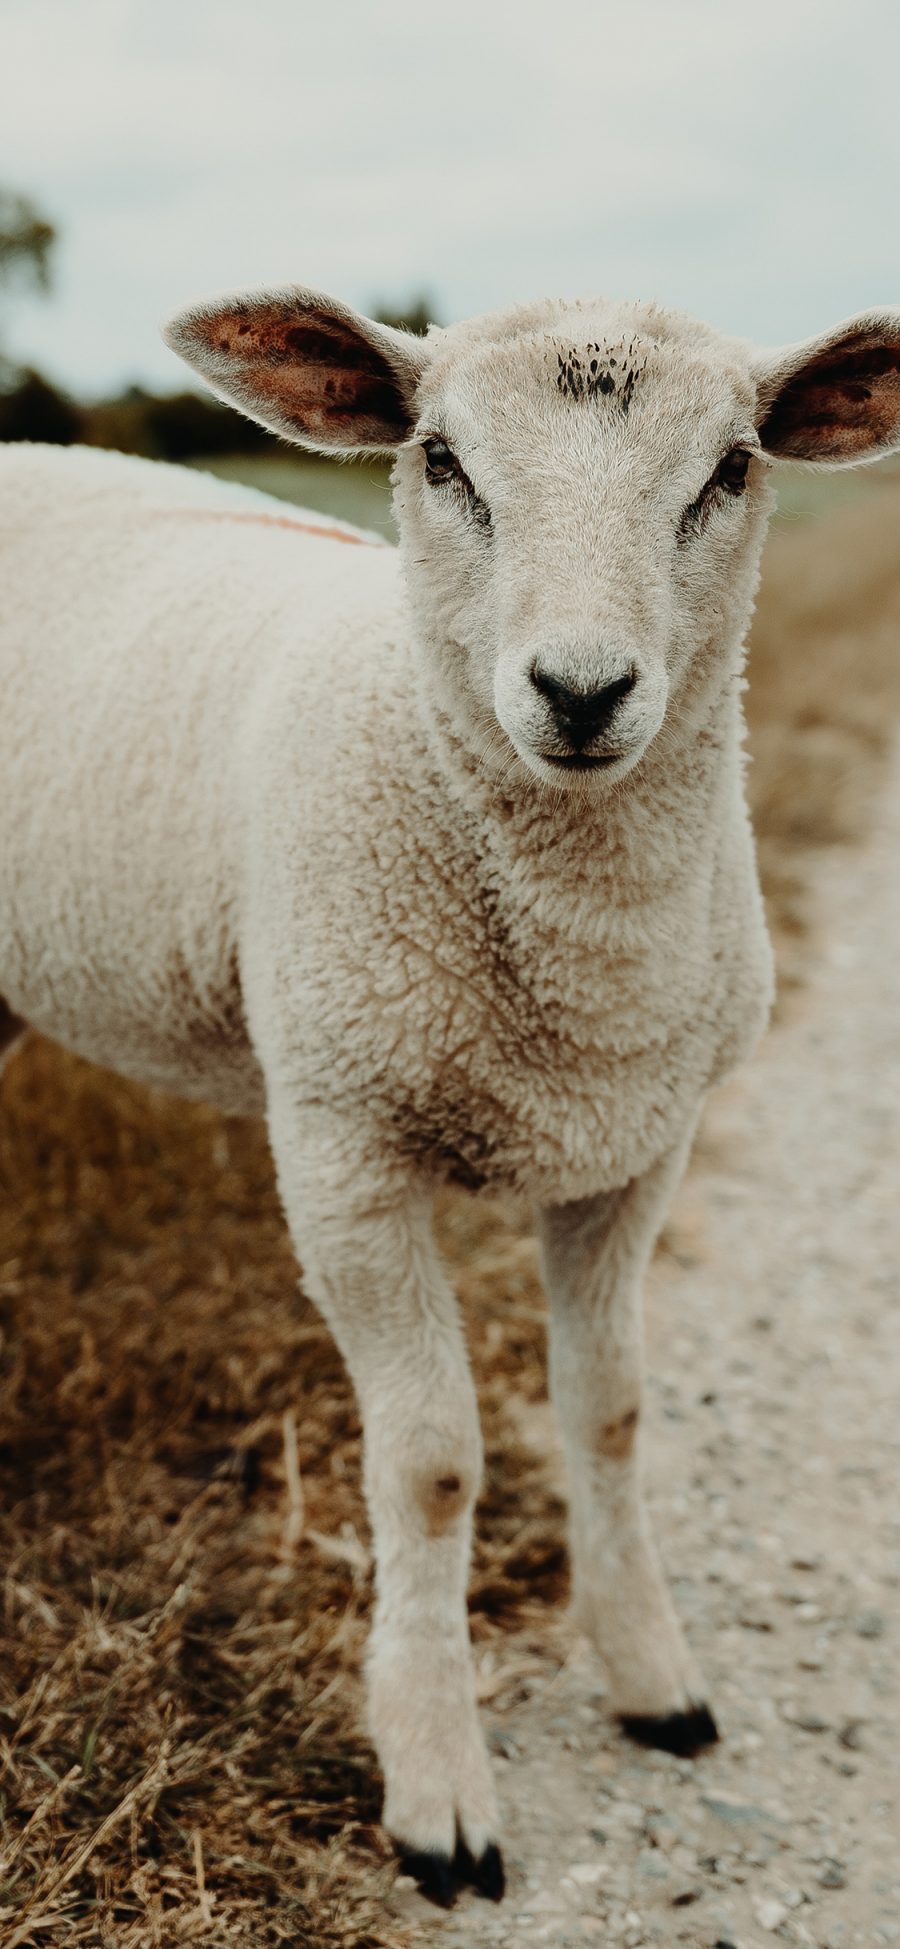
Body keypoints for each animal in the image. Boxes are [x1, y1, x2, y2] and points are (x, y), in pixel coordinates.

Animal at [1, 288, 900, 1902]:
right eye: (439, 459)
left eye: (732, 467)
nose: (581, 691)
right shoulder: (342, 1146)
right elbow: (428, 1468)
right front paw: (438, 1792)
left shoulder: (637, 1146)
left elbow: (609, 1411)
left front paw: (654, 1679)